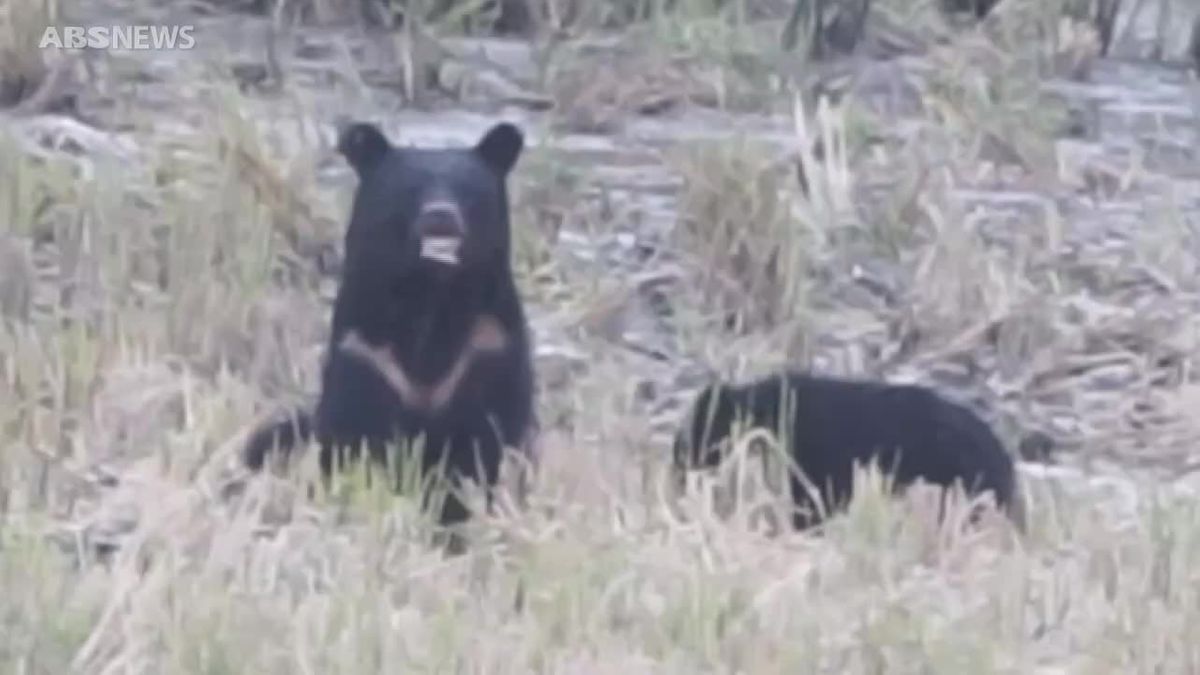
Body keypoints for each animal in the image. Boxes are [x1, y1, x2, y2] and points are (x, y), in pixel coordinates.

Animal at [242, 120, 537, 539]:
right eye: (409, 189)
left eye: (468, 191)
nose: (441, 217)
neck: (430, 297)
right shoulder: (365, 353)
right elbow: (356, 435)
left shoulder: (487, 349)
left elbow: (486, 441)